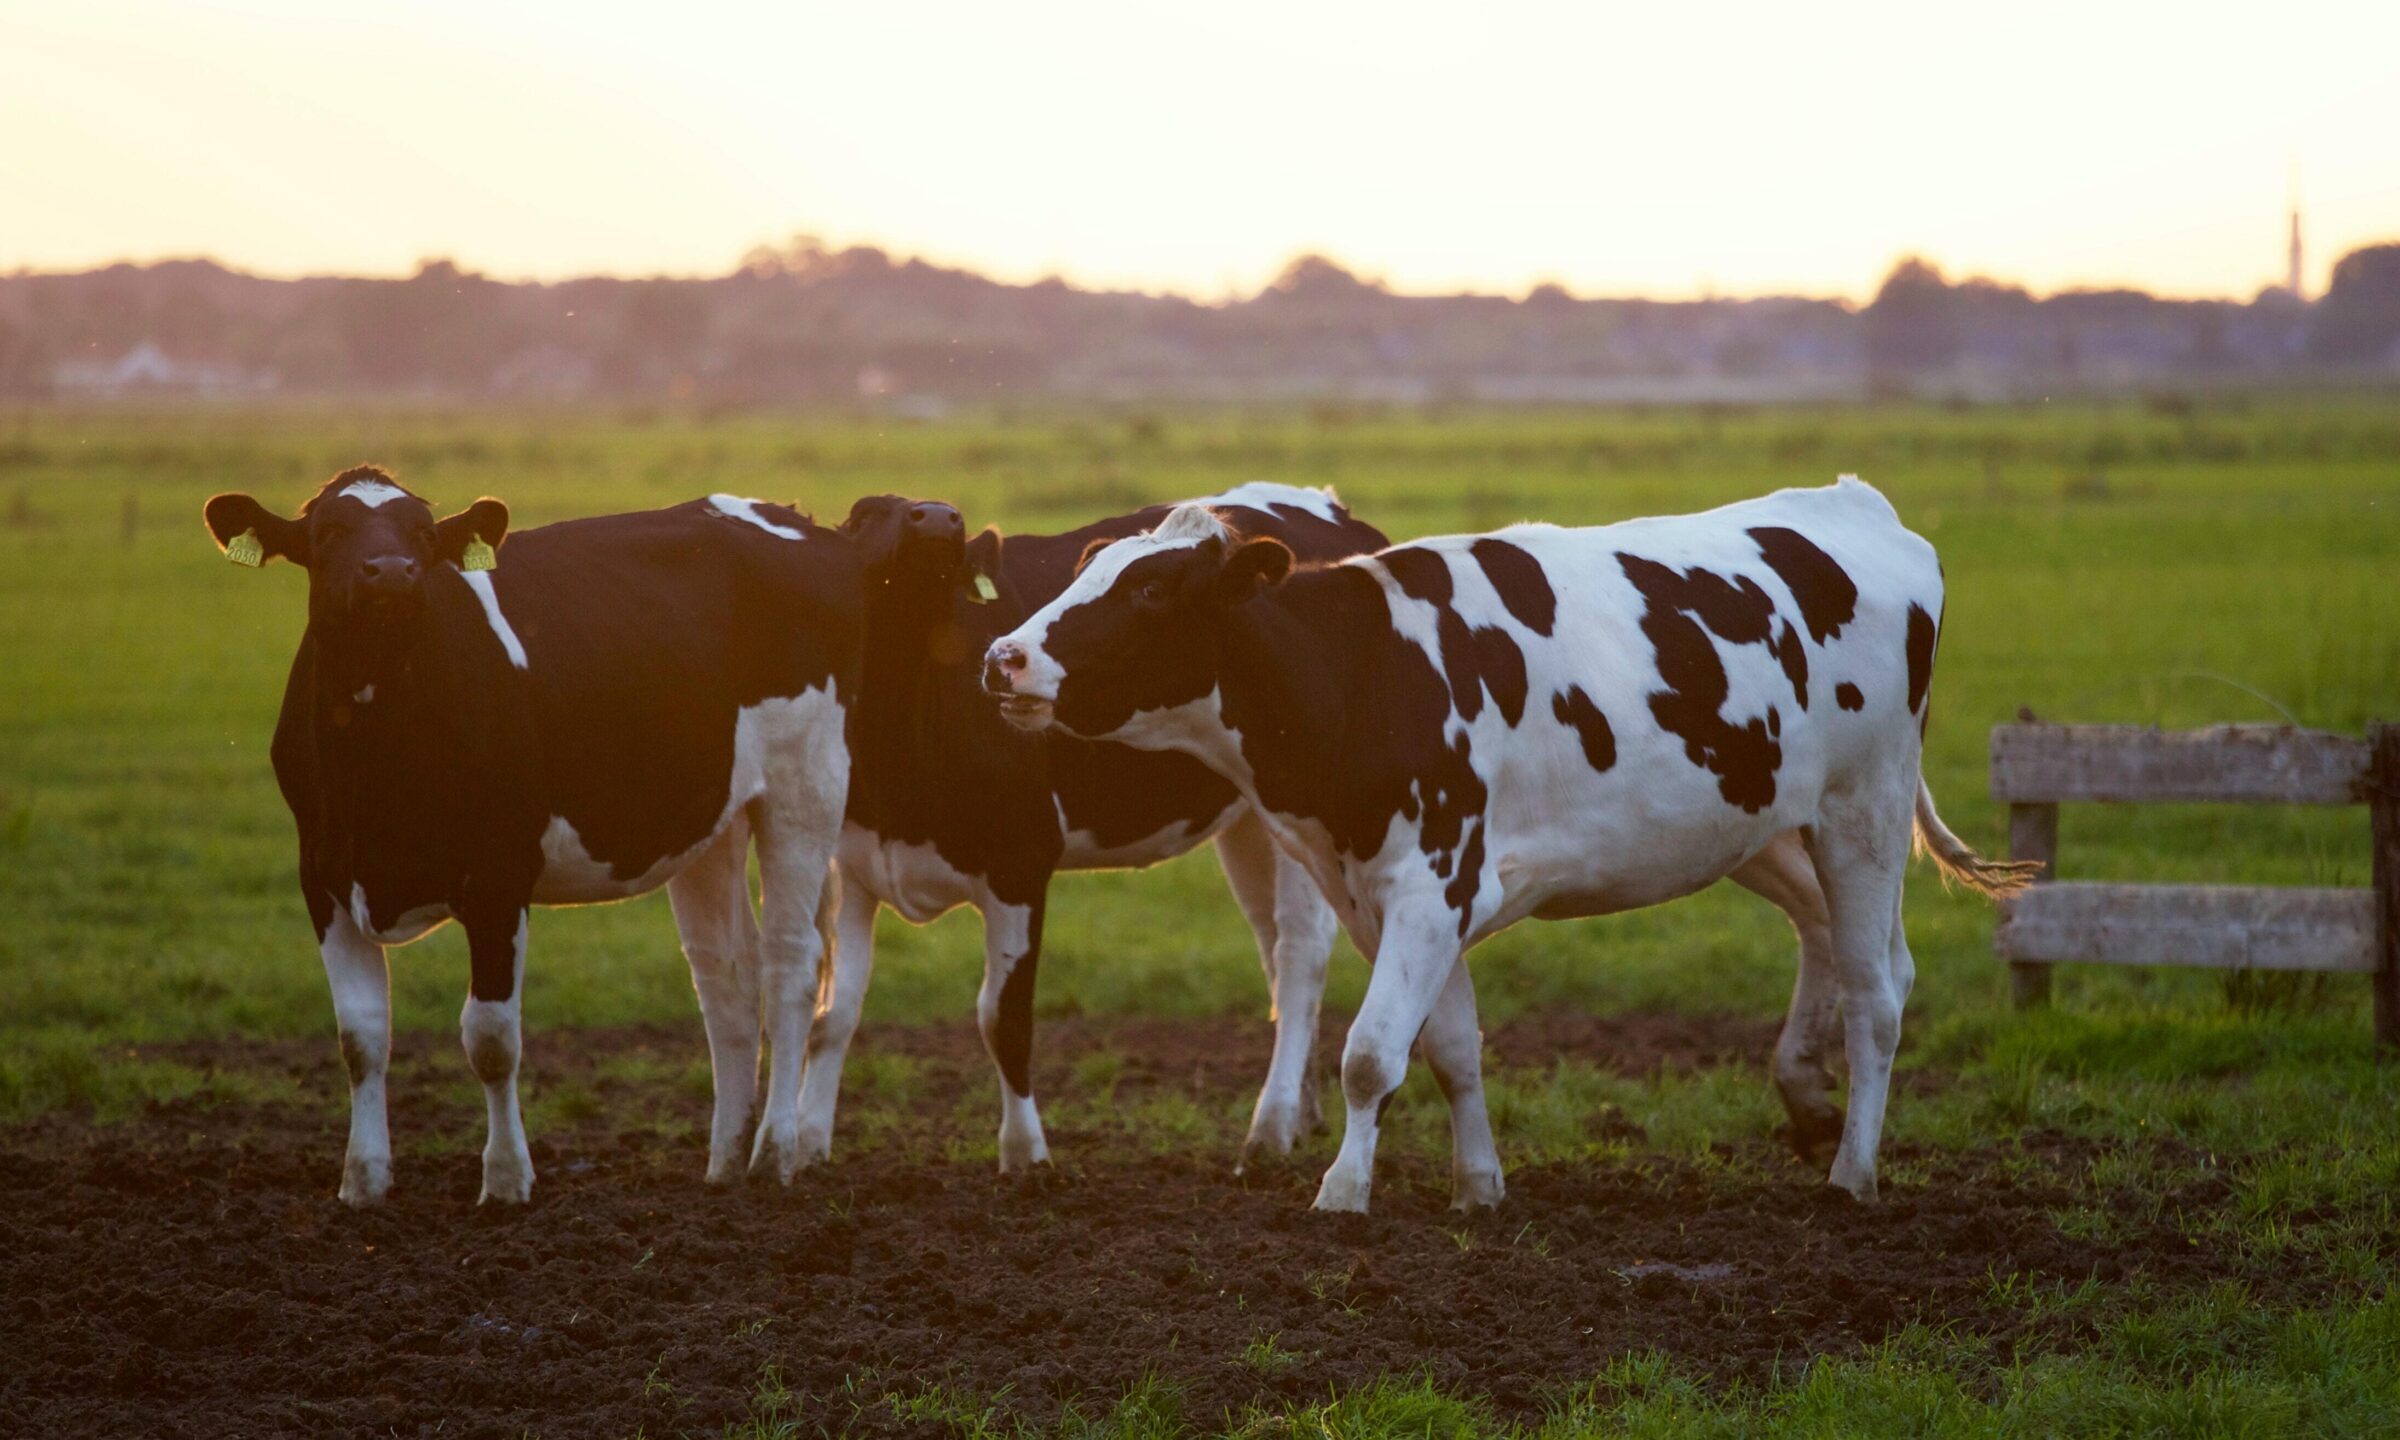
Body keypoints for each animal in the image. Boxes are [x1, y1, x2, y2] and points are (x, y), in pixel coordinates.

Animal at [204, 470, 864, 1204]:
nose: (393, 573)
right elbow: (361, 1037)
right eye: (328, 533)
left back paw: (773, 1154)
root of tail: (790, 517)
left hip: (806, 785)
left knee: (790, 965)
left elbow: (491, 1039)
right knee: (726, 978)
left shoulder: (498, 877)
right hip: (712, 817)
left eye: (423, 535)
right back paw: (723, 1161)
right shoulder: (322, 877)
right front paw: (364, 1181)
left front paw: (505, 1180)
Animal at [792, 484, 1382, 1171]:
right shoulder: (854, 866)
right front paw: (806, 1144)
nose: (938, 517)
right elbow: (834, 1014)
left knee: (1300, 955)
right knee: (1273, 953)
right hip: (1253, 822)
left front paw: (1025, 1156)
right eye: (865, 513)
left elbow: (1004, 1019)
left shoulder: (1020, 862)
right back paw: (1303, 1113)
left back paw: (1272, 1125)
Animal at [984, 477, 2035, 1209]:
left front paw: (1342, 1192)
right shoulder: (1394, 896)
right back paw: (1808, 1100)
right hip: (1764, 822)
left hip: (1865, 809)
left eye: (1152, 591)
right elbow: (1449, 1048)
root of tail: (1856, 505)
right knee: (1846, 945)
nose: (1003, 657)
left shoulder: (1430, 883)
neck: (1365, 669)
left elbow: (1370, 1054)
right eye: (1086, 571)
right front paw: (1477, 1186)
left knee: (1877, 993)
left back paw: (1854, 1171)